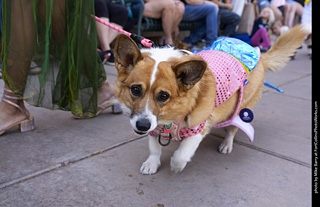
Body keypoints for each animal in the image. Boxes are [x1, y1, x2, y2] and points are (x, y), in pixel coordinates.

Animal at [113, 25, 310, 175]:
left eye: (163, 96)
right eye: (135, 90)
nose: (142, 126)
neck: (172, 114)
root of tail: (260, 57)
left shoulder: (199, 128)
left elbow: (180, 155)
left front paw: (176, 167)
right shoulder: (155, 126)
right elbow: (154, 148)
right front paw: (151, 164)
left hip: (240, 109)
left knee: (232, 129)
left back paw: (226, 144)